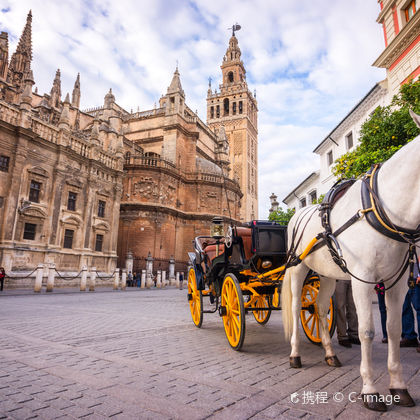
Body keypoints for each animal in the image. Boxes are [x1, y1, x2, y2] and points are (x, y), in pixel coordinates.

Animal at [282, 110, 420, 410]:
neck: (382, 209)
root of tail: (296, 217)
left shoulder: (397, 282)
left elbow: (393, 329)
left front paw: (398, 386)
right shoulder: (363, 279)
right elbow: (368, 331)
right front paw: (370, 389)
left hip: (328, 274)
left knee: (320, 307)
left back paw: (329, 353)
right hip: (298, 268)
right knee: (297, 307)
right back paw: (295, 354)